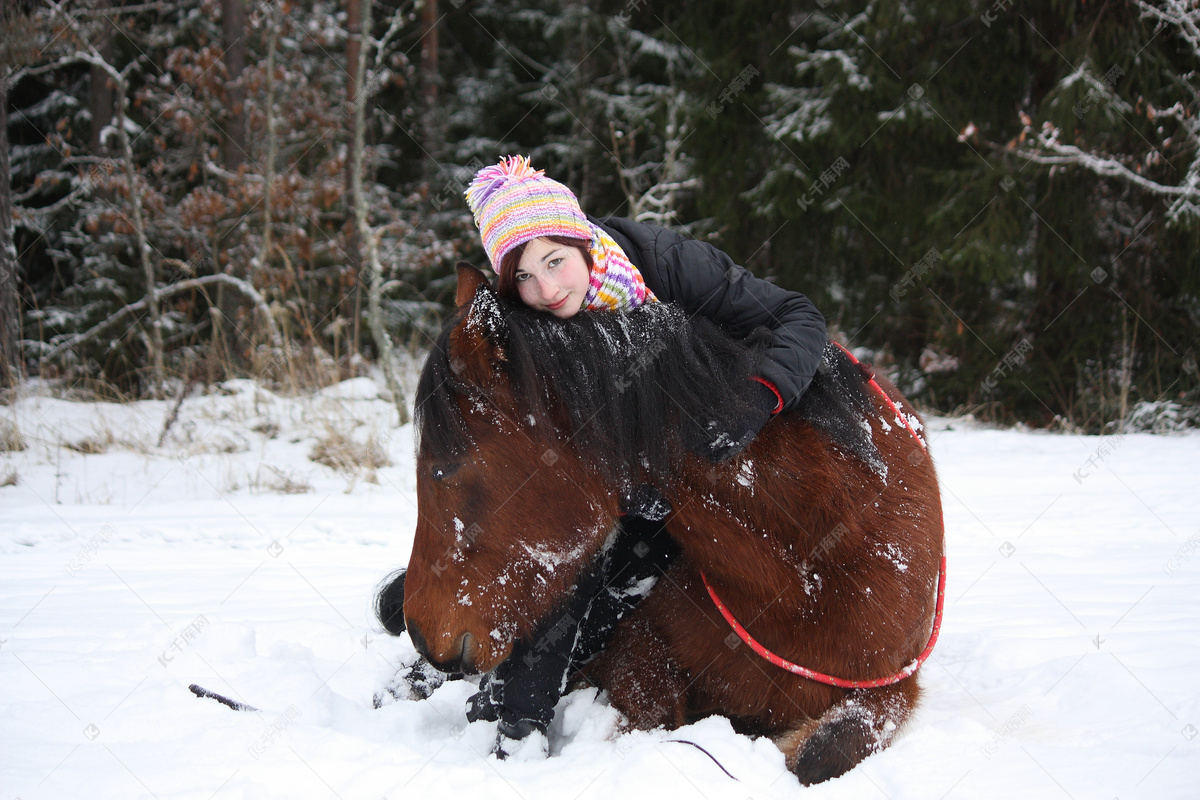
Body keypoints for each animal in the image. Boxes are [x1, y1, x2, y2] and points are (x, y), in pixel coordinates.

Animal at [398, 263, 940, 786]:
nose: (420, 631)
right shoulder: (637, 651)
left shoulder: (892, 687)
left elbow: (820, 755)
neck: (805, 574)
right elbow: (651, 717)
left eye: (443, 468)